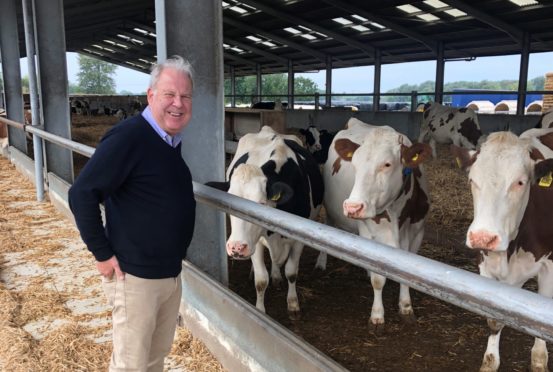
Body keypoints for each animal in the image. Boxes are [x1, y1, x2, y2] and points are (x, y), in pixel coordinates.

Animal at [206, 125, 324, 320]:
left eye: (261, 204)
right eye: (228, 202)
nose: (236, 248)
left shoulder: (299, 240)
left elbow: (291, 272)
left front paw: (293, 304)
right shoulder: (256, 241)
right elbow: (261, 280)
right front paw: (260, 311)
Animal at [320, 117, 432, 330]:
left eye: (387, 164)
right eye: (354, 164)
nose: (353, 206)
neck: (396, 214)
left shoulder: (418, 230)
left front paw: (406, 306)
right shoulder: (369, 233)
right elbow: (378, 280)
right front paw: (377, 315)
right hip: (330, 209)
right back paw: (321, 262)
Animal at [450, 129, 553, 372]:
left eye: (520, 182)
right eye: (472, 180)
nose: (483, 237)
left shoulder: (549, 264)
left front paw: (539, 361)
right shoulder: (485, 263)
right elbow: (494, 317)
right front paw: (489, 361)